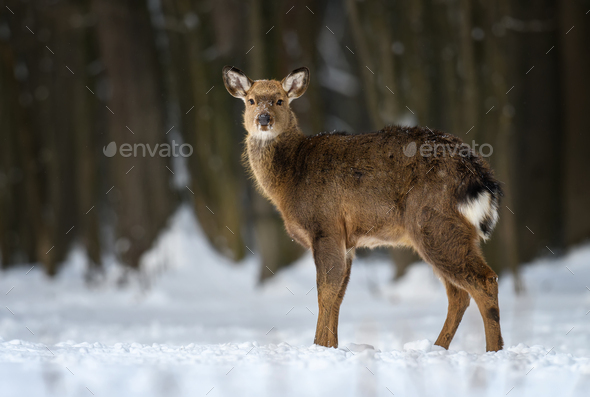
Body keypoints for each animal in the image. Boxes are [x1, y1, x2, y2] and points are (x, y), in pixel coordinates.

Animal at [222, 65, 504, 352]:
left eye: (280, 100)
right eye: (251, 100)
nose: (264, 118)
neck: (289, 179)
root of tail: (477, 173)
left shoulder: (325, 225)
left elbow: (326, 291)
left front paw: (319, 346)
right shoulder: (347, 241)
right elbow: (338, 295)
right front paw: (331, 346)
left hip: (435, 223)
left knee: (484, 281)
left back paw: (493, 350)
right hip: (449, 231)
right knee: (459, 294)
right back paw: (439, 347)